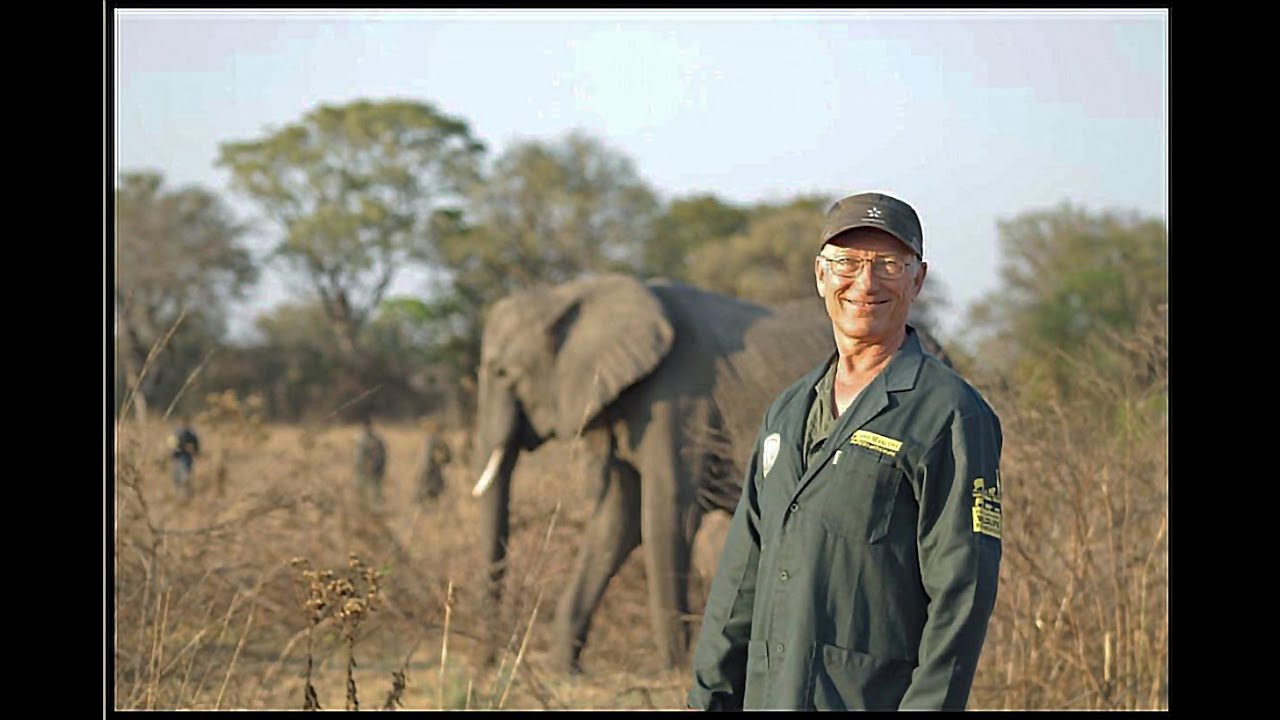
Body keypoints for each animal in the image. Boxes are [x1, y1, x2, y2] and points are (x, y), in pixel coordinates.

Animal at [470, 273, 952, 673]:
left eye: (502, 372)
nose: (490, 661)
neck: (572, 292)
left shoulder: (678, 400)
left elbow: (666, 515)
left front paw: (674, 670)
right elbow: (617, 520)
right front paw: (564, 670)